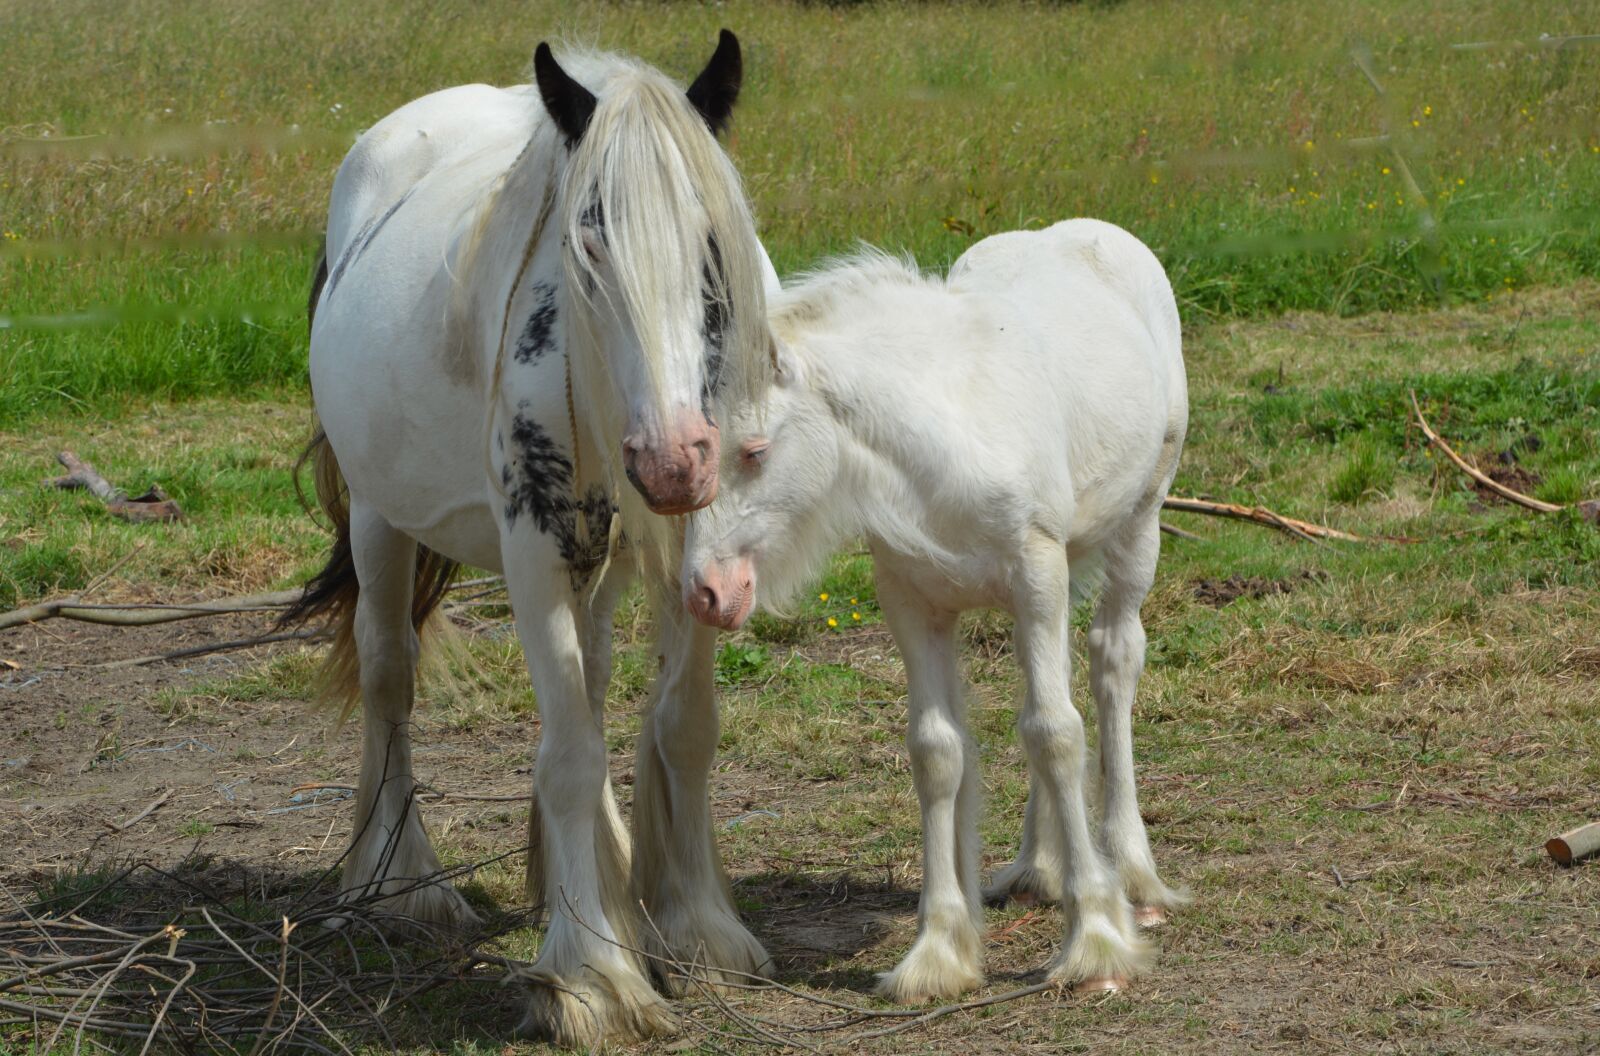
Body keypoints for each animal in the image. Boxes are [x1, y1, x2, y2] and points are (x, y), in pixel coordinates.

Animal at [282, 33, 777, 1045]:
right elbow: (571, 753)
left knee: (584, 688)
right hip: (382, 522)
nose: (673, 460)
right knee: (390, 679)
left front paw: (694, 927)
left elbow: (682, 727)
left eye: (712, 241)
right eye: (589, 238)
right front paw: (592, 980)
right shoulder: (537, 554)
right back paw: (401, 881)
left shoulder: (700, 553)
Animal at [681, 219, 1188, 1000]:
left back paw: (1131, 871)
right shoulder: (914, 600)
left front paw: (1096, 940)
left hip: (1139, 522)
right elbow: (939, 749)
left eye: (756, 450)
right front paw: (940, 953)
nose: (707, 591)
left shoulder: (1035, 573)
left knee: (1111, 665)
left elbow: (1055, 733)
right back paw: (1039, 867)